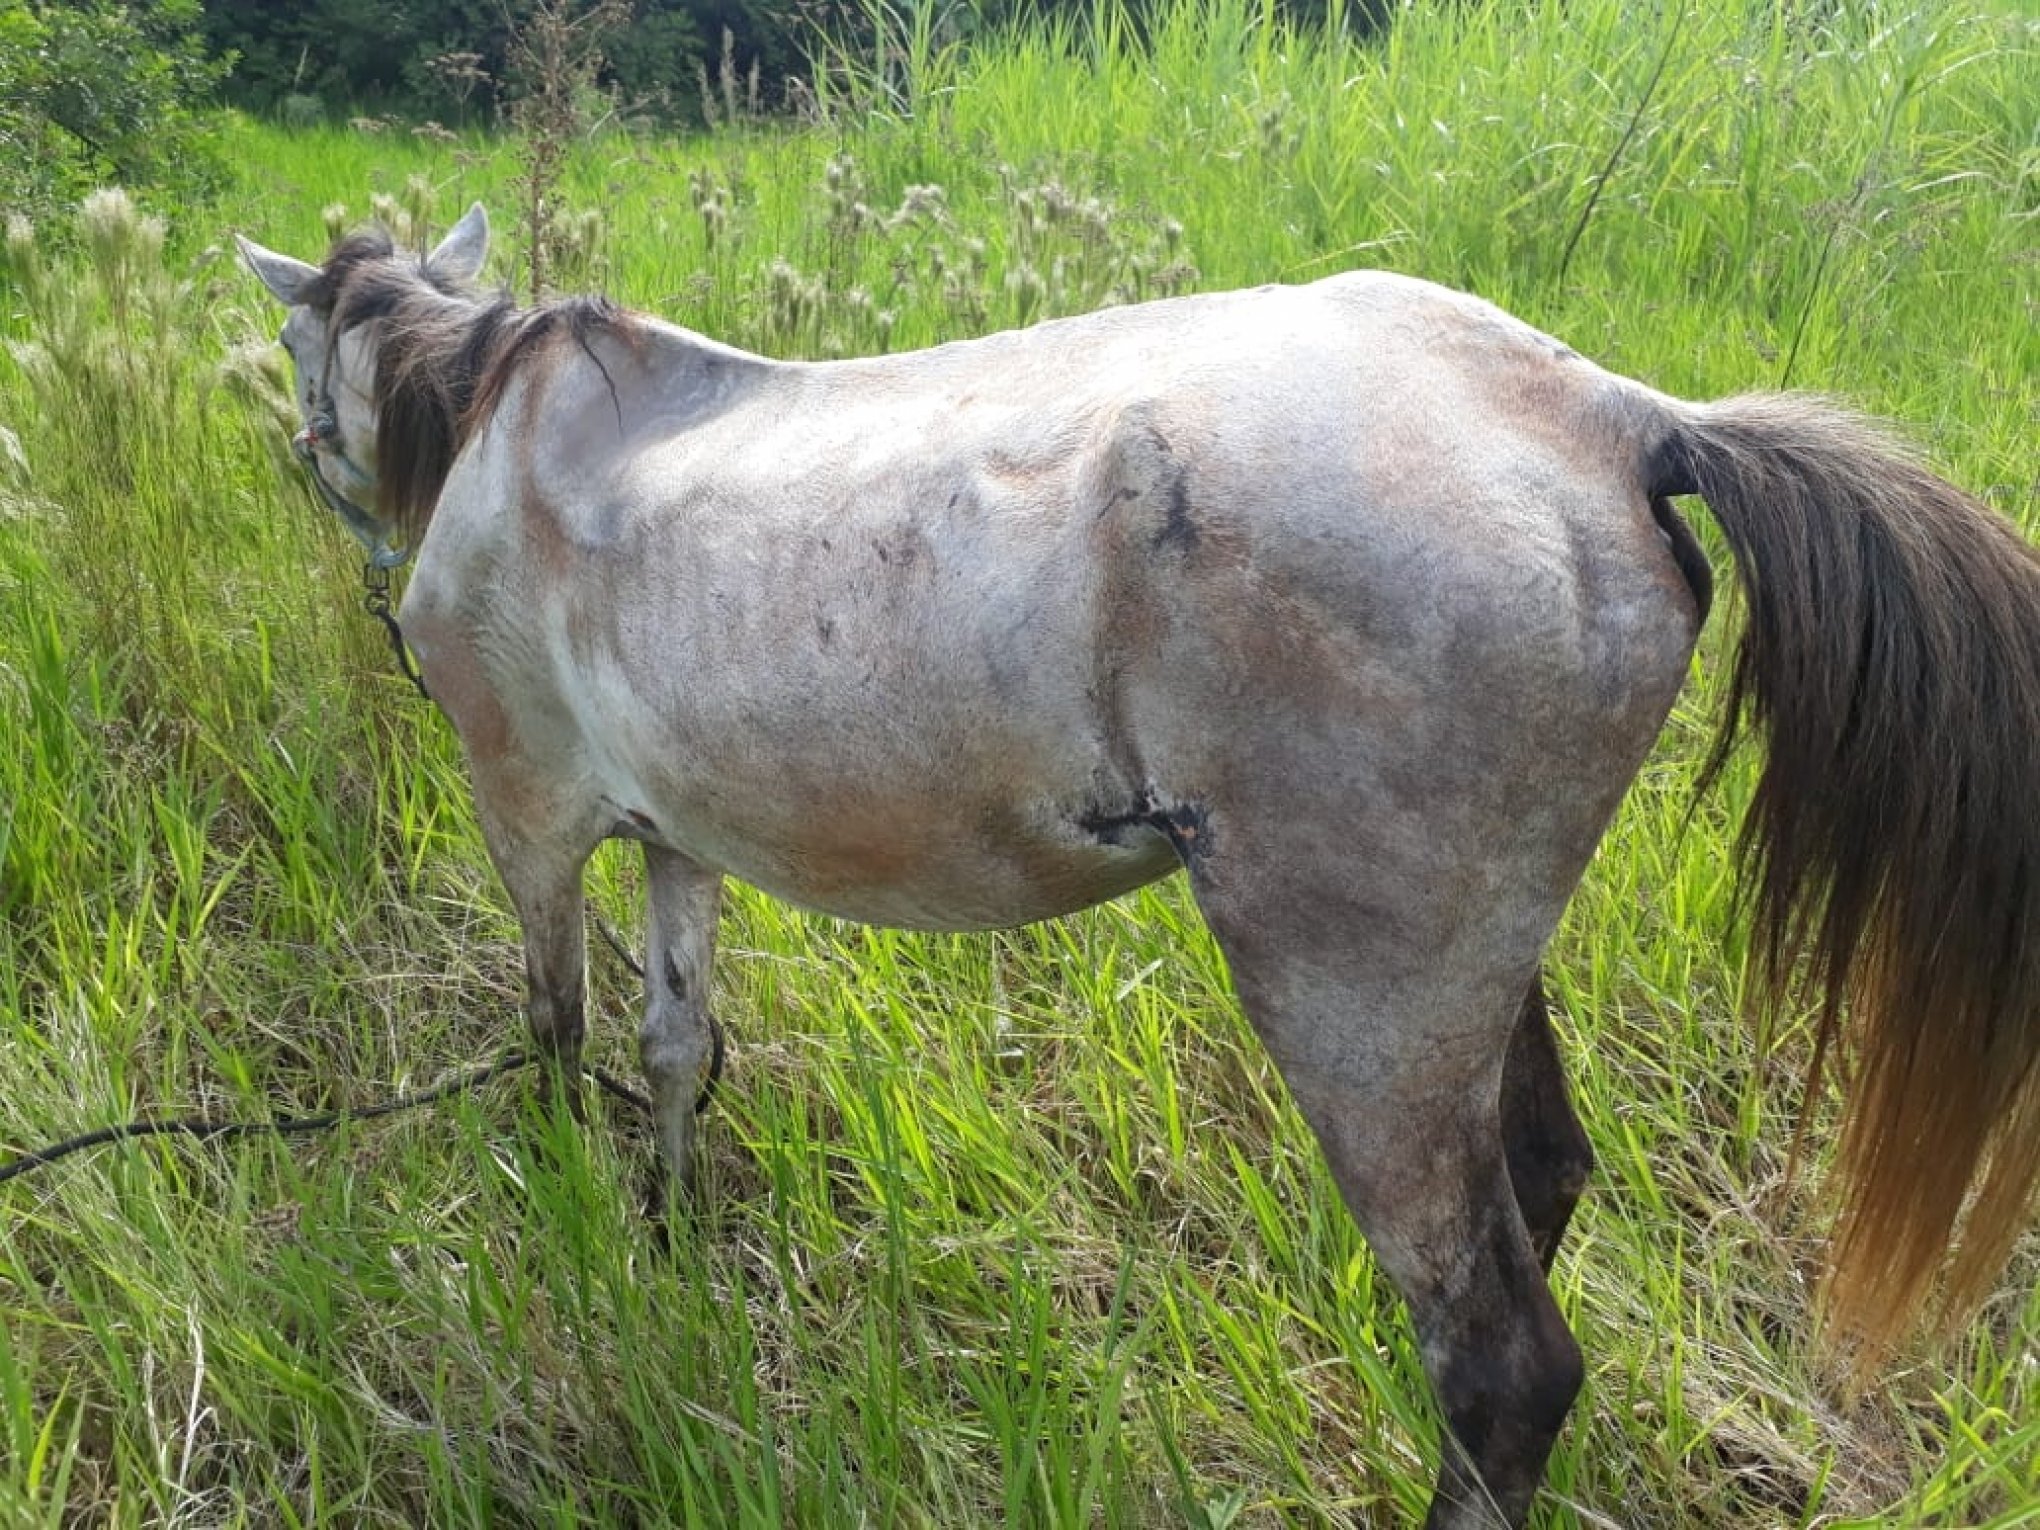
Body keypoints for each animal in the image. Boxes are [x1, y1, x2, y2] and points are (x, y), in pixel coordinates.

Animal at [242, 207, 2040, 1530]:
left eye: (294, 352)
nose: (312, 471)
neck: (507, 427)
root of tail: (1618, 418)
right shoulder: (679, 836)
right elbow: (679, 1045)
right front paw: (668, 1229)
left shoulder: (530, 816)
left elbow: (550, 1036)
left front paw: (566, 1215)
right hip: (1469, 982)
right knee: (1536, 1186)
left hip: (1355, 997)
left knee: (1503, 1365)